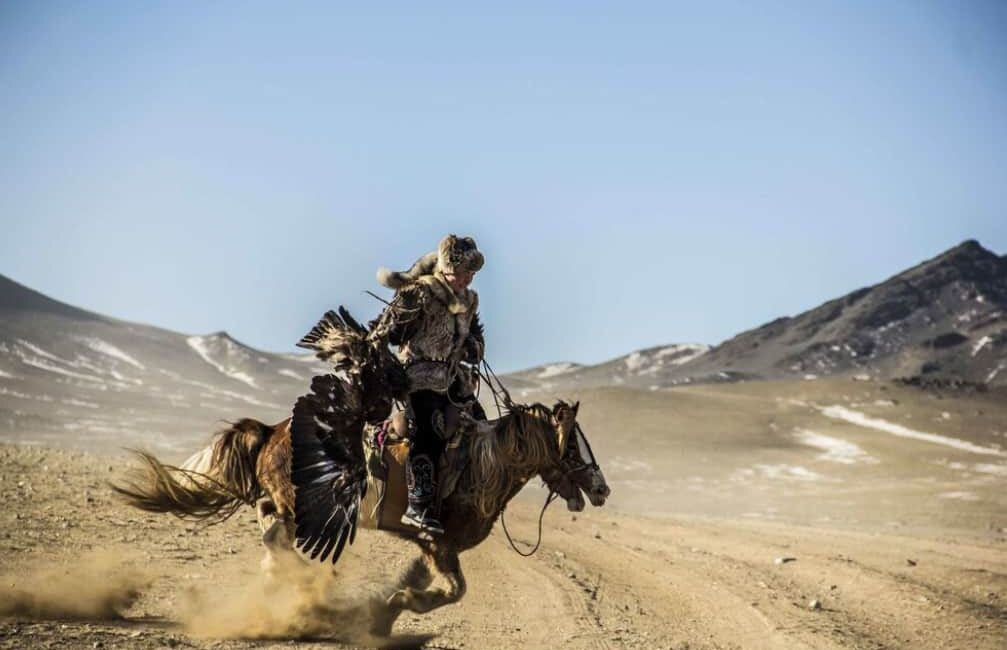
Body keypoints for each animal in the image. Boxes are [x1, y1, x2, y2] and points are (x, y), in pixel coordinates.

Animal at [114, 397, 608, 632]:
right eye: (571, 446)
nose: (602, 490)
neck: (482, 463)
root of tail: (272, 431)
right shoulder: (440, 542)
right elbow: (454, 591)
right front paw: (400, 604)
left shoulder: (431, 546)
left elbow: (421, 580)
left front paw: (385, 611)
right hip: (297, 503)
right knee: (276, 532)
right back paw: (302, 583)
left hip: (284, 503)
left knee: (269, 523)